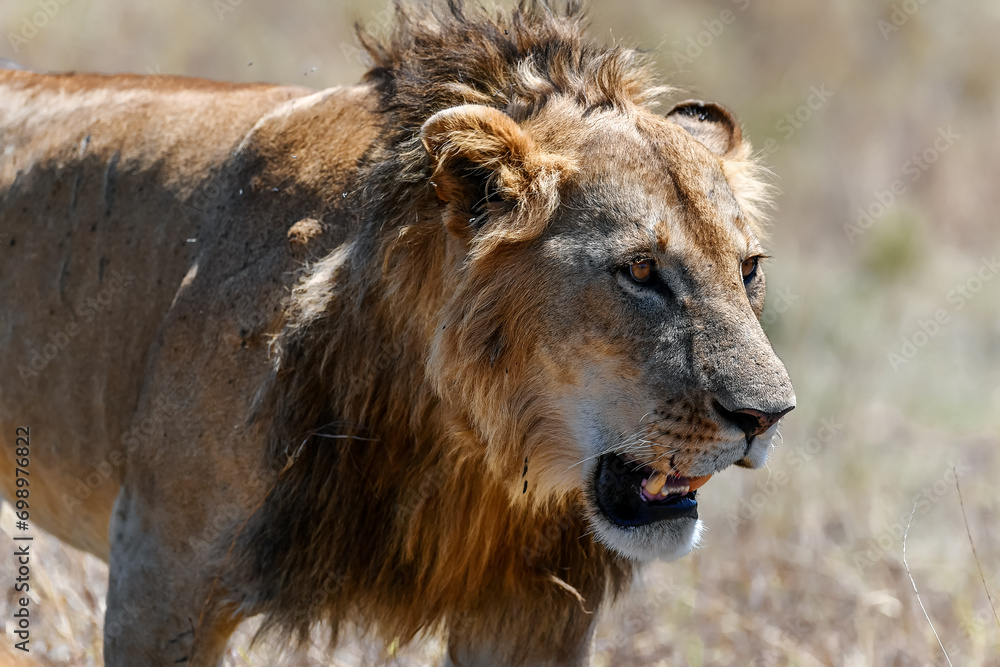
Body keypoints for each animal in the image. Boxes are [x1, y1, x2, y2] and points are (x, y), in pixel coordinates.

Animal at [0, 2, 794, 665]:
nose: (768, 417)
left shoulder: (532, 614)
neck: (468, 446)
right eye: (639, 270)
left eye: (748, 268)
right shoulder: (160, 575)